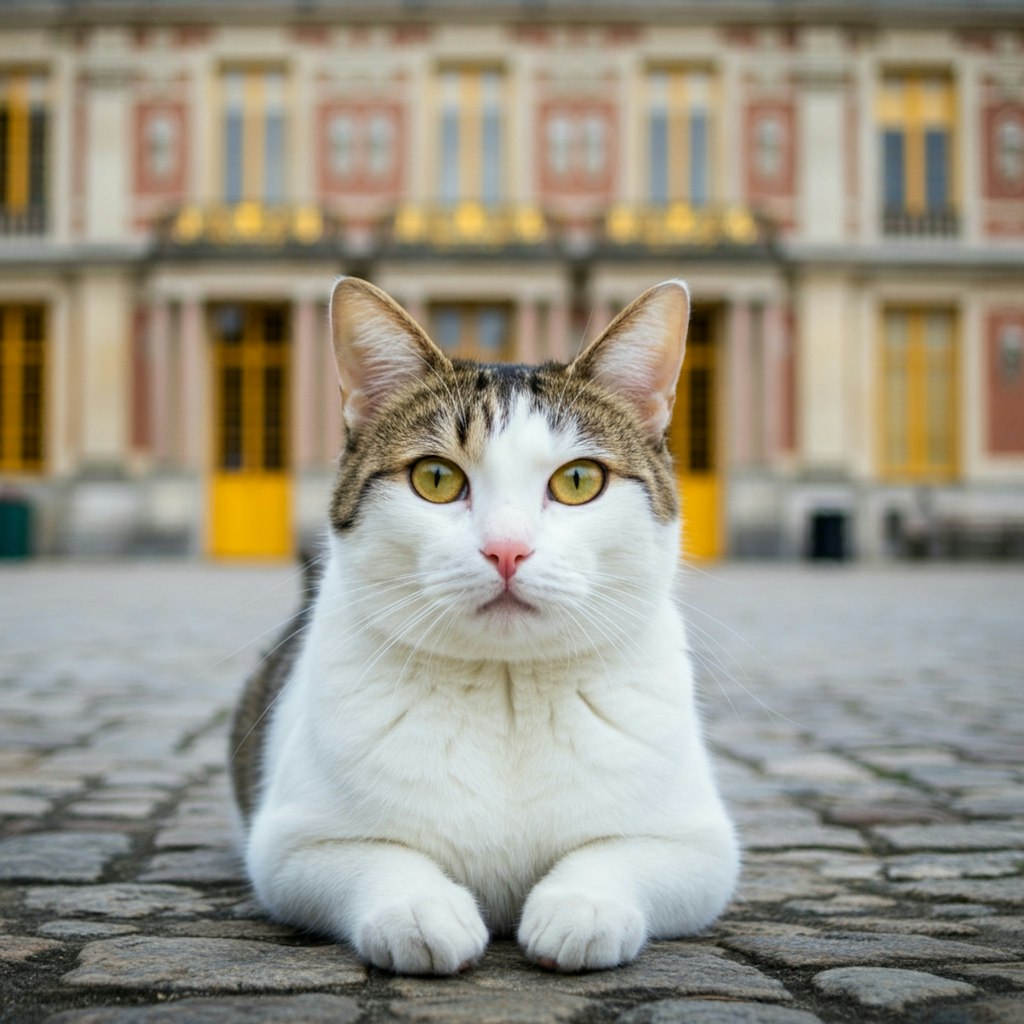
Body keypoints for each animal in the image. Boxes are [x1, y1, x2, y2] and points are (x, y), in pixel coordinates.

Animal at [228, 278, 741, 974]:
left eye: (577, 480)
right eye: (436, 478)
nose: (506, 550)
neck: (506, 692)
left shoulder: (700, 844)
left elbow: (616, 852)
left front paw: (581, 907)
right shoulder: (291, 844)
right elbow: (378, 856)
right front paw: (421, 909)